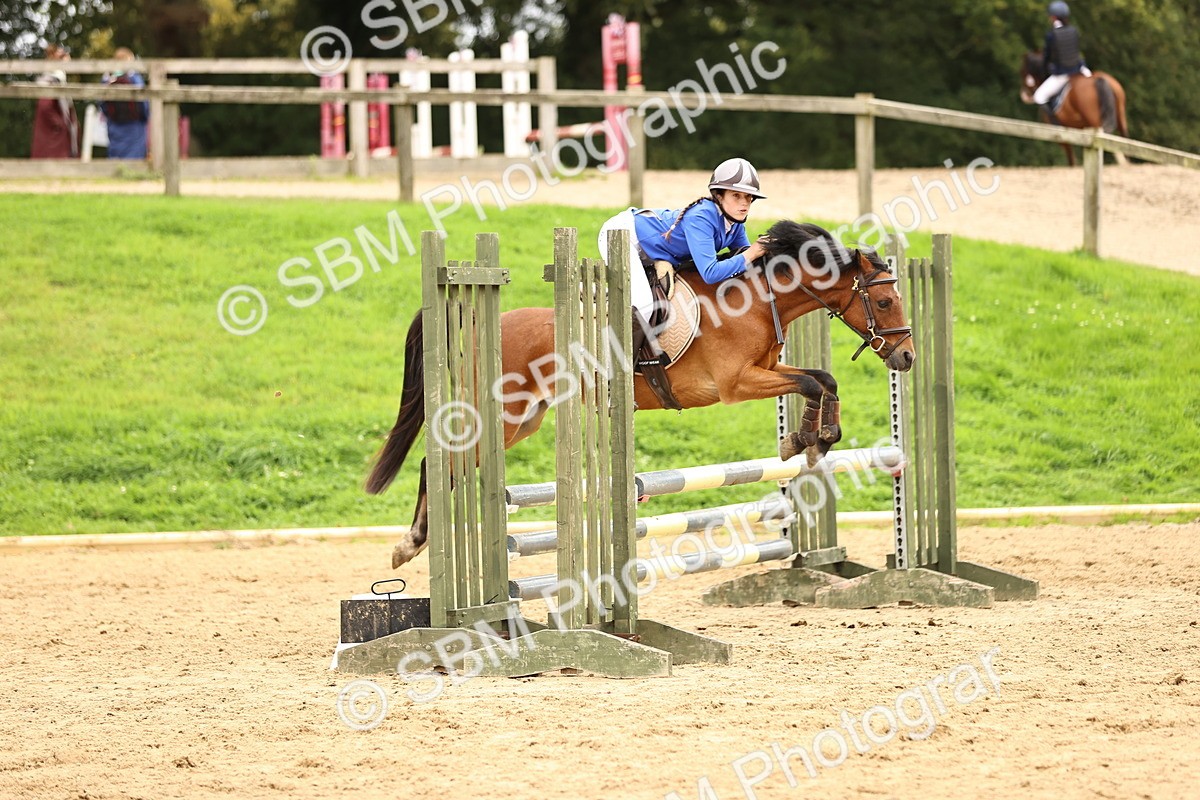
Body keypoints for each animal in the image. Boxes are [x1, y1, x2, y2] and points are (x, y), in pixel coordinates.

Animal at [366, 220, 917, 569]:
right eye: (885, 300)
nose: (907, 357)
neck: (759, 300)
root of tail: (484, 320)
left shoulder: (765, 369)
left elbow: (823, 379)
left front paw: (813, 439)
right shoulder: (737, 384)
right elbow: (810, 382)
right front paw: (807, 440)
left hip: (526, 420)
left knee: (452, 464)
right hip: (502, 415)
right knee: (441, 464)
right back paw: (410, 545)